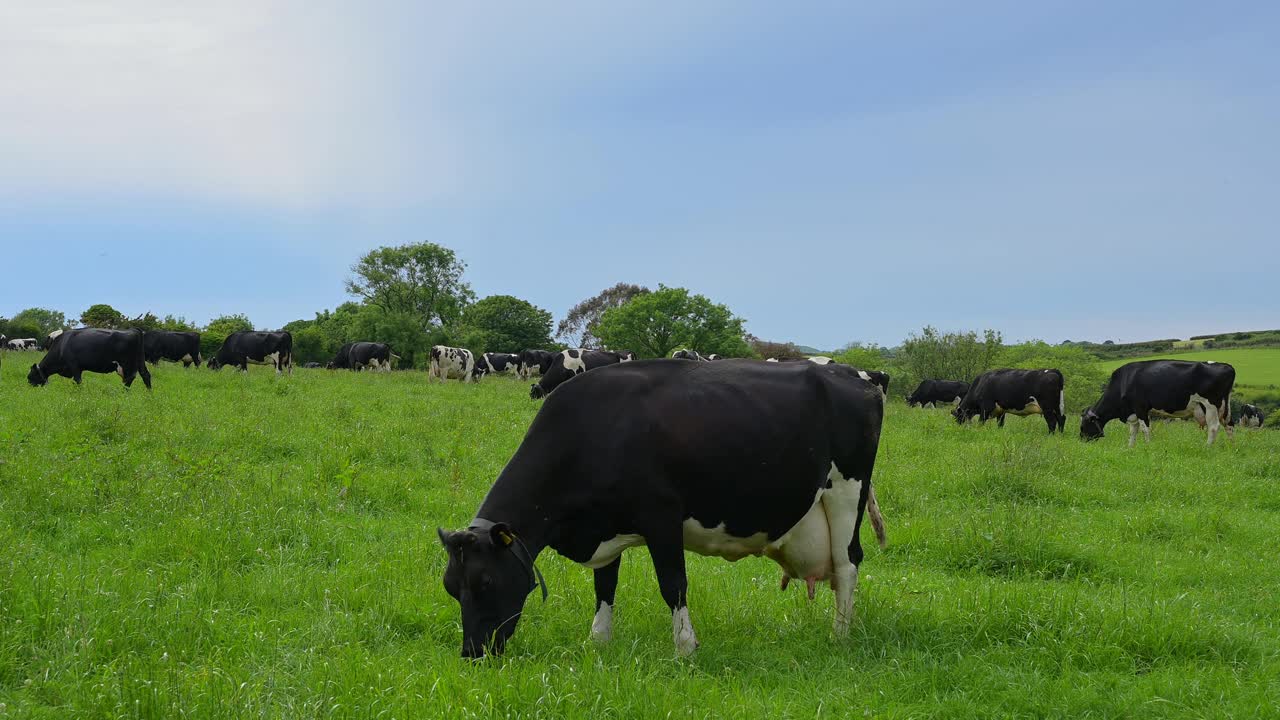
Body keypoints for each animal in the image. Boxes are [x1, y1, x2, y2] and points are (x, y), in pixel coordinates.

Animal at [435, 358, 885, 655]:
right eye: (451, 588)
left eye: (485, 582)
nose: (473, 654)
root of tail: (852, 374)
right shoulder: (605, 524)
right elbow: (605, 586)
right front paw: (598, 642)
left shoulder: (662, 516)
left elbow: (673, 584)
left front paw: (685, 648)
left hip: (847, 492)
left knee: (848, 563)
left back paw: (839, 637)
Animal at [1080, 358, 1239, 443]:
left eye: (1083, 426)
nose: (1081, 440)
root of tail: (1227, 366)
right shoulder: (1133, 412)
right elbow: (1133, 431)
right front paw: (1130, 448)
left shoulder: (1141, 408)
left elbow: (1145, 429)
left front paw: (1147, 447)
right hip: (1225, 406)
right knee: (1229, 424)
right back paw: (1232, 447)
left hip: (1210, 404)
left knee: (1214, 427)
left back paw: (1207, 447)